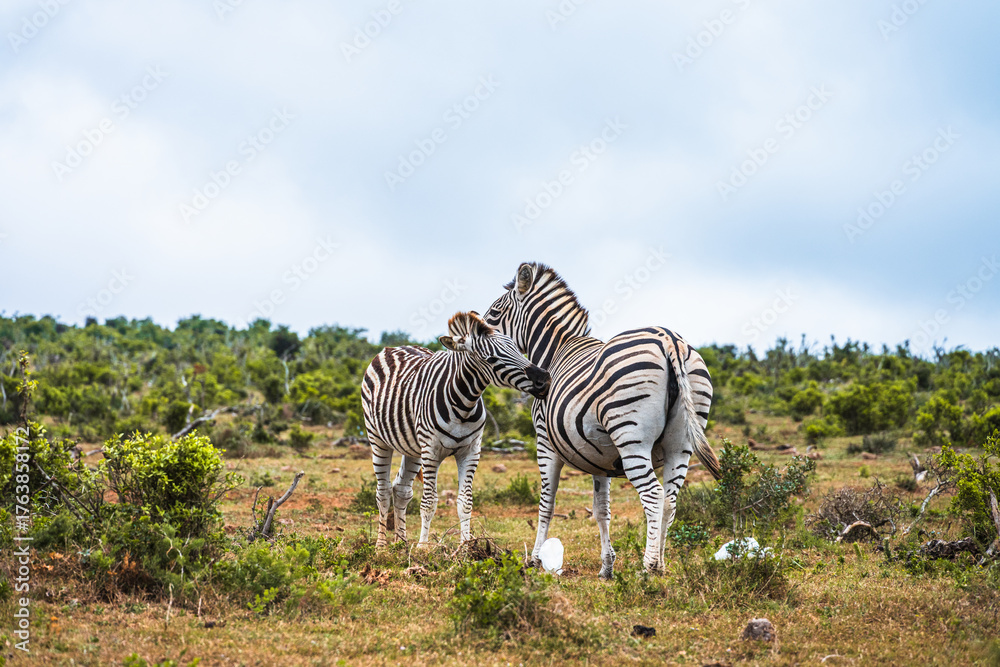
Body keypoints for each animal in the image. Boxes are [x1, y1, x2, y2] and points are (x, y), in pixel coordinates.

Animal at [361, 311, 550, 548]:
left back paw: (402, 543)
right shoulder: (431, 451)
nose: (544, 379)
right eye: (491, 359)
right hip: (377, 439)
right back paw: (381, 546)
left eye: (516, 348)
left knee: (401, 489)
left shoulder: (471, 451)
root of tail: (393, 347)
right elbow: (429, 502)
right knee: (383, 491)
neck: (464, 404)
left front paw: (467, 546)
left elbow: (465, 502)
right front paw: (423, 547)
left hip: (412, 447)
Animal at [482, 262, 721, 577]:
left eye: (494, 314)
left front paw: (534, 560)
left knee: (654, 496)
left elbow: (546, 503)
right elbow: (601, 510)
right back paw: (662, 564)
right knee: (670, 500)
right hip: (681, 443)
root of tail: (671, 340)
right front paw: (607, 568)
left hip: (631, 437)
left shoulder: (545, 442)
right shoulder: (599, 455)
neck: (555, 351)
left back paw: (649, 567)